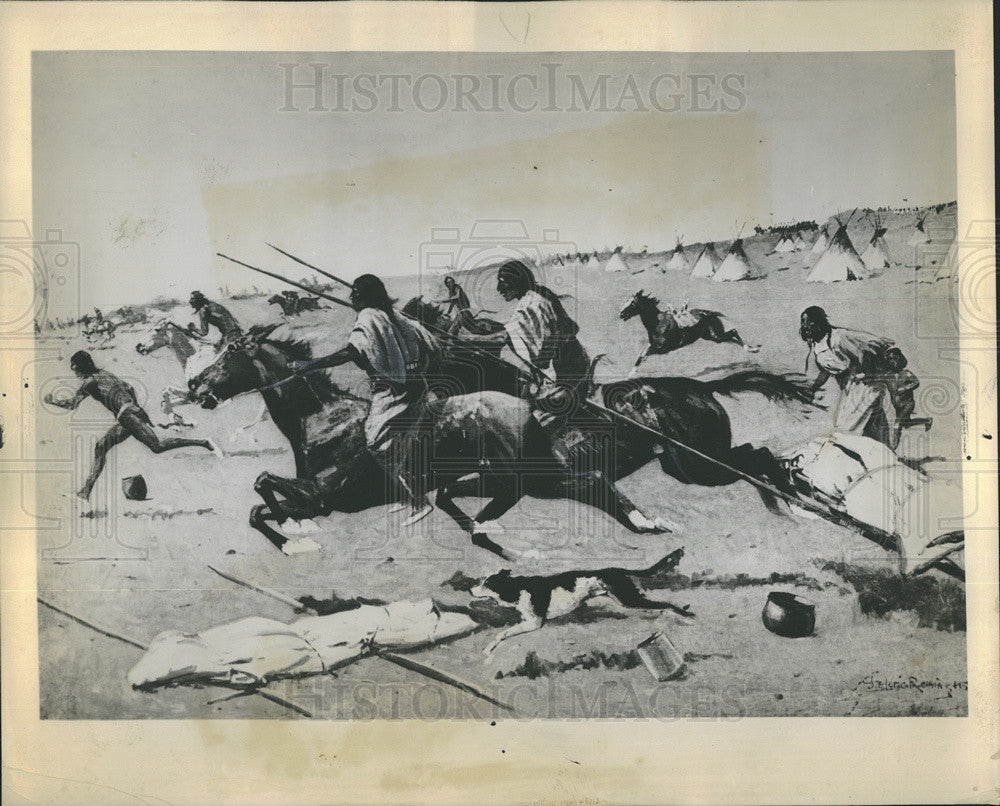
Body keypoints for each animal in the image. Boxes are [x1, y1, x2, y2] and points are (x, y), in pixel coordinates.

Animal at [470, 548, 692, 656]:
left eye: (486, 583)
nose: (470, 590)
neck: (515, 588)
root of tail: (616, 570)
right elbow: (501, 631)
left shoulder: (534, 622)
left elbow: (501, 633)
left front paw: (488, 649)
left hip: (628, 599)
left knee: (666, 604)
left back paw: (685, 616)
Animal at [616, 292, 756, 378]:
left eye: (632, 303)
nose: (621, 314)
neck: (657, 322)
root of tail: (709, 313)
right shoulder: (653, 345)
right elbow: (642, 354)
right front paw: (630, 374)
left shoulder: (663, 348)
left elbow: (645, 354)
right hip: (712, 336)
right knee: (732, 336)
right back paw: (751, 349)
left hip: (715, 336)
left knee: (733, 332)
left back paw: (751, 349)